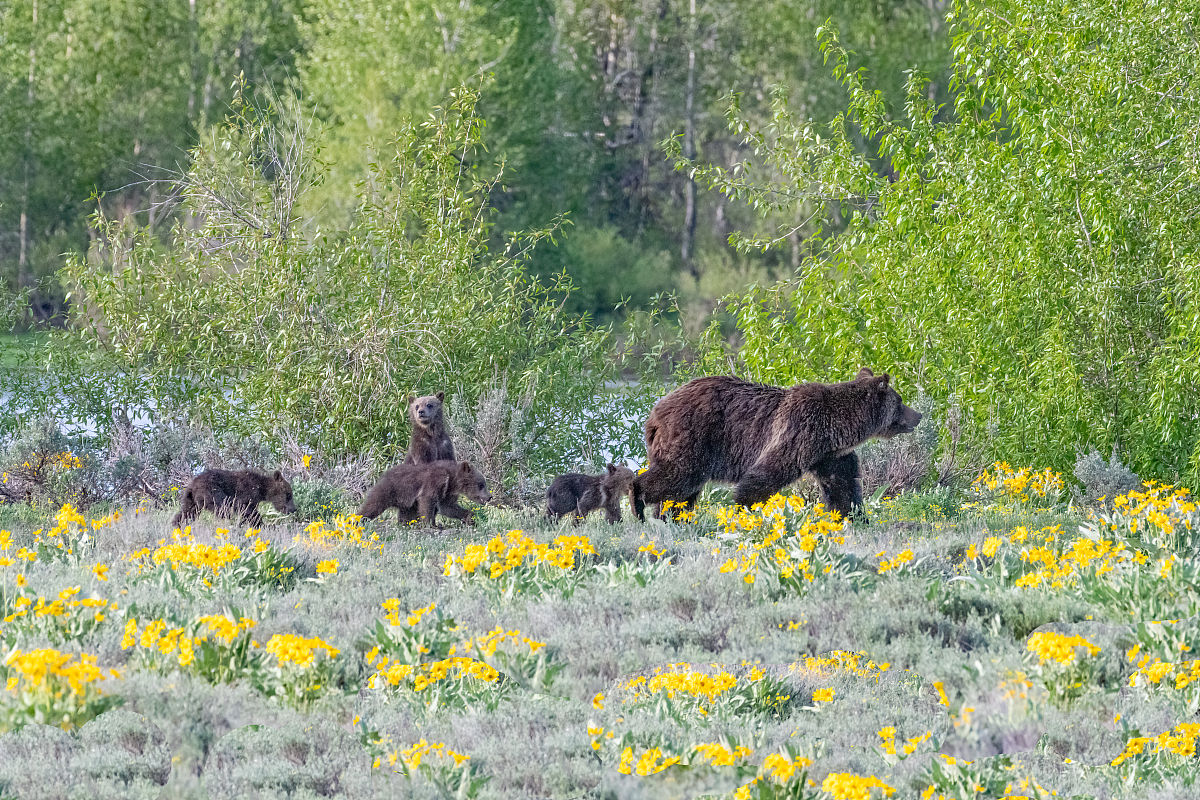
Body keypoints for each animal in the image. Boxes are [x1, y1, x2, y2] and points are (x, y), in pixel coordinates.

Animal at [358, 460, 490, 528]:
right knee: (373, 505)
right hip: (390, 490)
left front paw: (470, 518)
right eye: (481, 484)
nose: (489, 497)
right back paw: (357, 519)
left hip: (406, 502)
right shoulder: (435, 482)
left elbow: (448, 507)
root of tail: (384, 474)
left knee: (405, 513)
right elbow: (427, 501)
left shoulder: (446, 493)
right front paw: (430, 525)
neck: (452, 481)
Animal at [632, 368, 922, 522]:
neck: (838, 427)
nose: (918, 415)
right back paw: (638, 503)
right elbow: (767, 473)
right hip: (693, 436)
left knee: (682, 491)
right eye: (900, 400)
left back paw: (672, 517)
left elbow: (843, 484)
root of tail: (654, 413)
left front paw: (854, 517)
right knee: (677, 475)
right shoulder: (799, 431)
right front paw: (744, 508)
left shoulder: (828, 453)